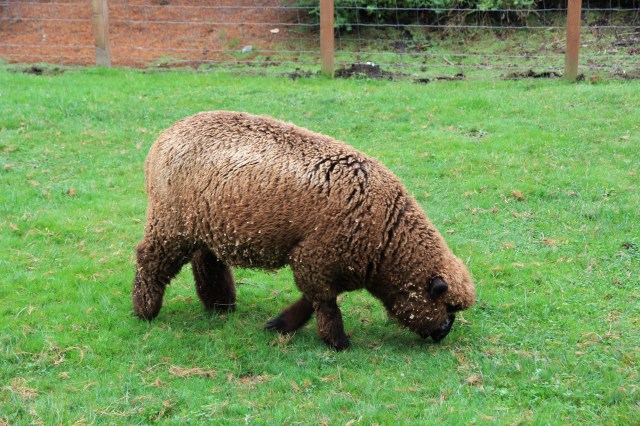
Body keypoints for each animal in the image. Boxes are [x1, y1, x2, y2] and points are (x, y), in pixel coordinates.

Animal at [132, 111, 476, 350]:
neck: (387, 239)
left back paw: (221, 306)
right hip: (170, 222)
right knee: (149, 260)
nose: (443, 334)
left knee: (206, 261)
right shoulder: (315, 258)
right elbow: (324, 304)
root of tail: (163, 138)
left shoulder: (325, 264)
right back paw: (144, 311)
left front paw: (280, 324)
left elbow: (311, 301)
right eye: (446, 306)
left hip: (204, 225)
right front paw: (338, 343)